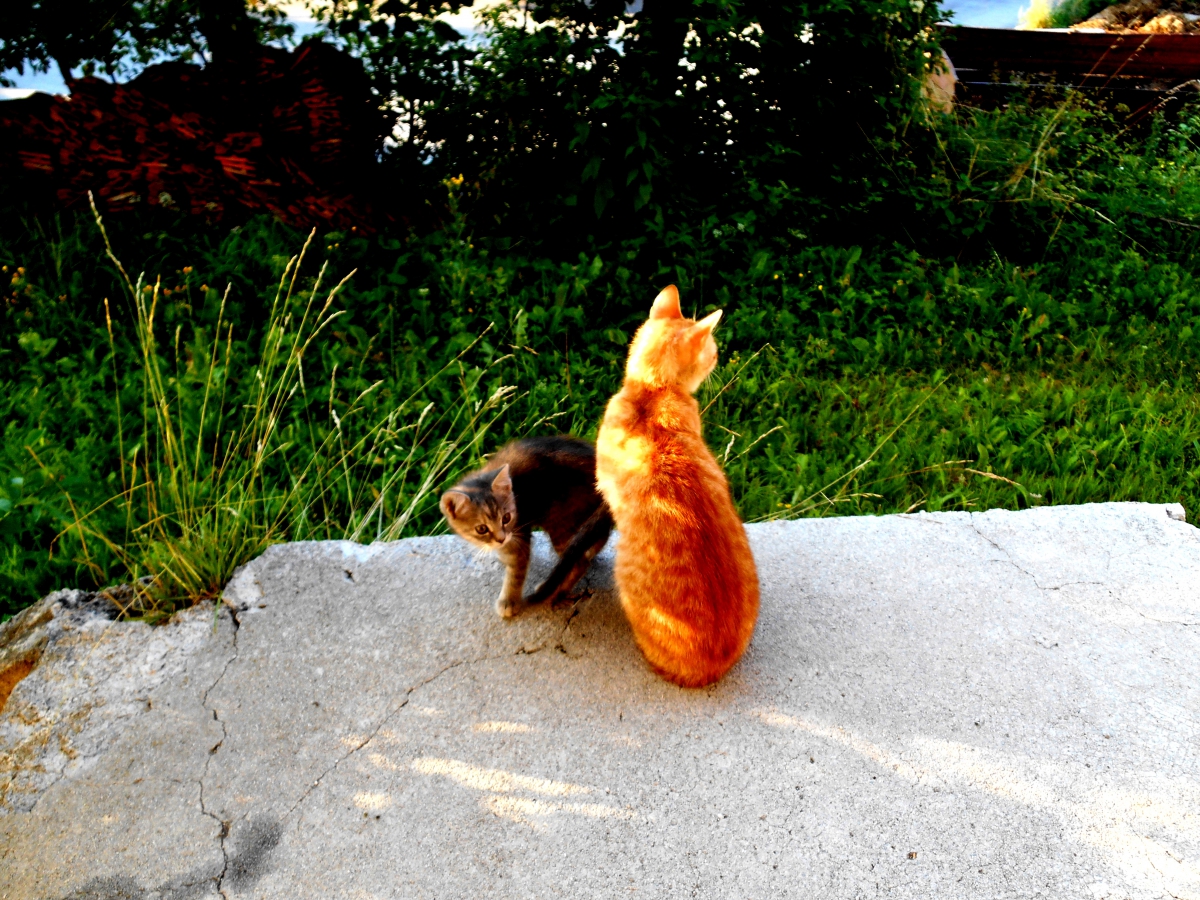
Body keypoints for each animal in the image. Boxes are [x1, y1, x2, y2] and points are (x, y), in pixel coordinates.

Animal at [440, 436, 613, 618]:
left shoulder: (518, 534)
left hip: (558, 521)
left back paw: (556, 593)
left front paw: (508, 601)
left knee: (579, 562)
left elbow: (515, 571)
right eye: (482, 529)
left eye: (506, 518)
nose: (501, 539)